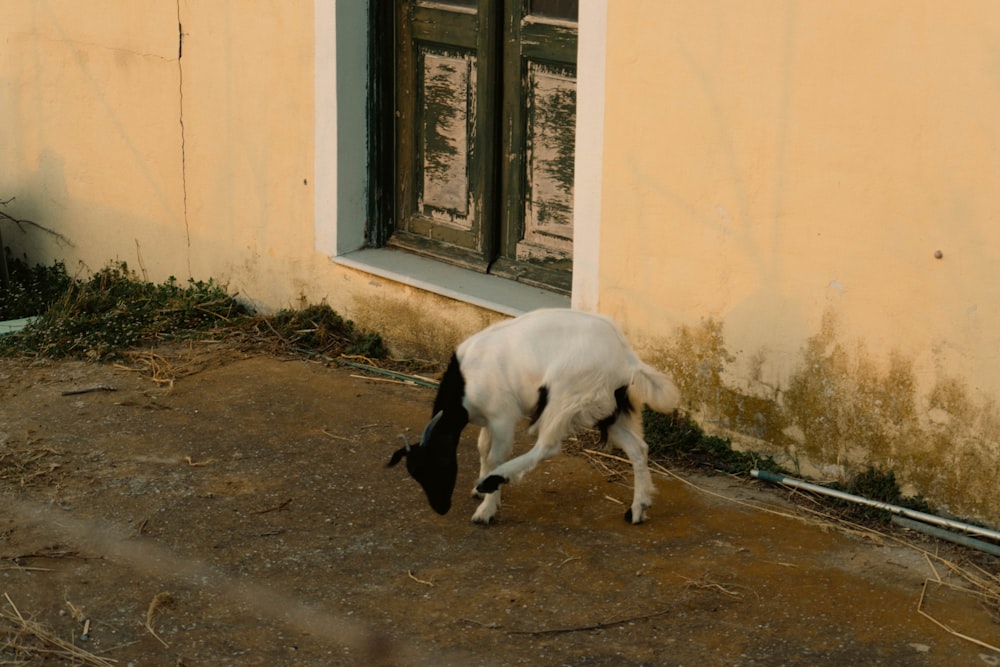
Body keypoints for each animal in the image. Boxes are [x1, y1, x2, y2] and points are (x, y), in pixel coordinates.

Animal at [388, 310, 680, 528]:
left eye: (438, 463)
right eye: (416, 473)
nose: (440, 508)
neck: (465, 382)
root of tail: (627, 360)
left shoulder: (502, 416)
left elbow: (495, 455)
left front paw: (486, 506)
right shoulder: (488, 418)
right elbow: (482, 448)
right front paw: (480, 492)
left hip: (566, 397)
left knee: (547, 446)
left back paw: (494, 479)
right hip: (609, 409)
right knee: (638, 448)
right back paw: (638, 509)